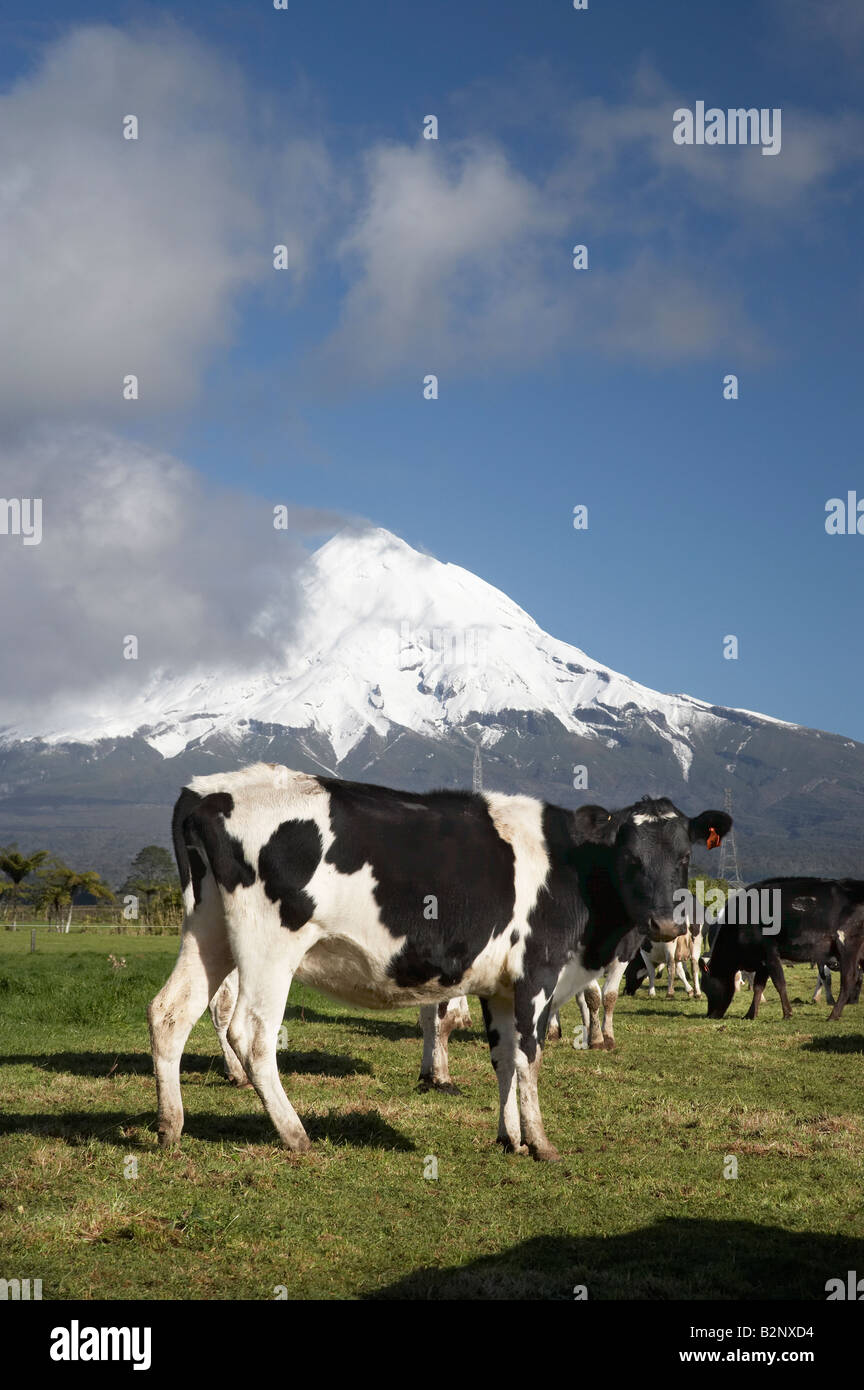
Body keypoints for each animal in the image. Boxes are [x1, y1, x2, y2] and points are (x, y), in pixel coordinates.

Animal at [149, 765, 730, 1160]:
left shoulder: (498, 986)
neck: (574, 870)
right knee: (250, 1032)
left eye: (684, 856)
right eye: (630, 856)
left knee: (170, 1013)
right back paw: (295, 1133)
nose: (665, 925)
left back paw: (170, 1125)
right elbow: (529, 1057)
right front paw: (541, 1143)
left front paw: (510, 1138)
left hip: (209, 932)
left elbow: (503, 1057)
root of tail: (207, 790)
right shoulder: (536, 975)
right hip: (269, 947)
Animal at [701, 877, 864, 1022]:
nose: (709, 1015)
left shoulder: (770, 953)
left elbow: (779, 983)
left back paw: (833, 1015)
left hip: (846, 946)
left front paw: (787, 1013)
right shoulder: (762, 961)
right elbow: (758, 987)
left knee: (849, 978)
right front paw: (750, 1014)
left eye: (706, 987)